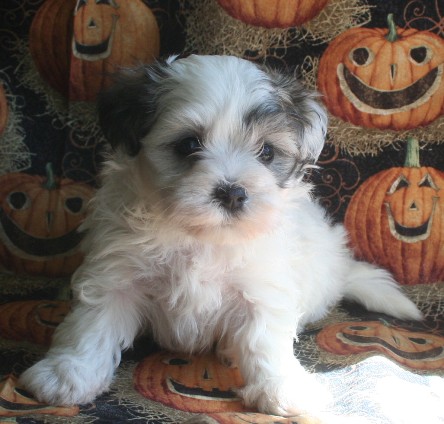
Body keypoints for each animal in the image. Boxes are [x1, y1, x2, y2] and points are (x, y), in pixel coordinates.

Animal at [20, 54, 424, 416]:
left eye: (266, 152)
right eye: (188, 144)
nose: (232, 192)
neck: (200, 235)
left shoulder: (263, 284)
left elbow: (265, 337)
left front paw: (282, 388)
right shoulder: (117, 271)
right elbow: (93, 324)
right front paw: (67, 375)